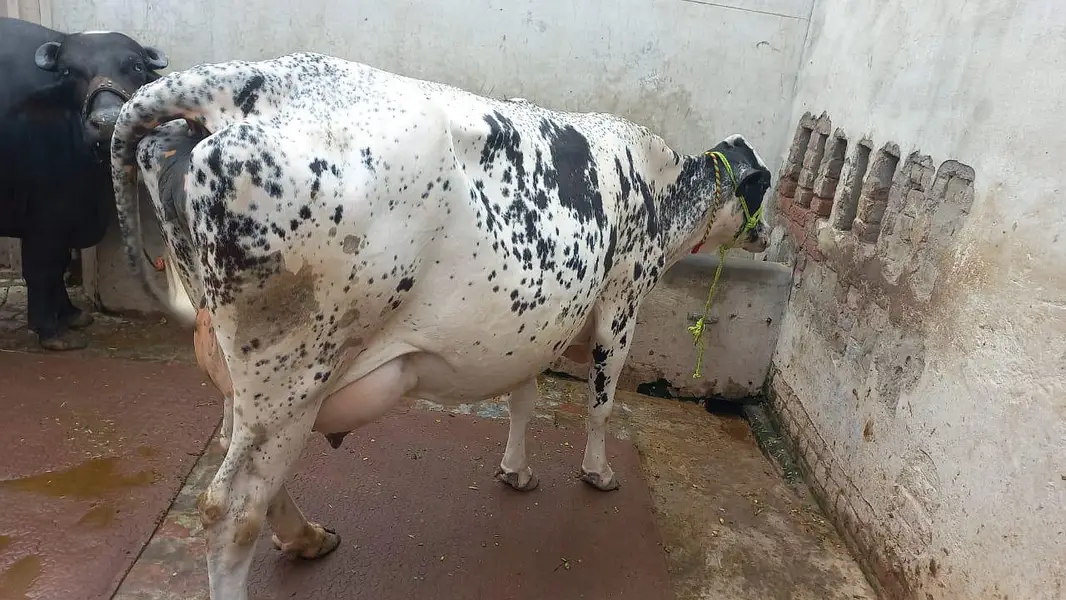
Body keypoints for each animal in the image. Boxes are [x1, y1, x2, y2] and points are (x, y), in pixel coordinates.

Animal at [0, 17, 168, 350]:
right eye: (68, 71)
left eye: (136, 65)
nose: (107, 123)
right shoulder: (44, 215)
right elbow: (43, 267)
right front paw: (49, 331)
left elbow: (60, 262)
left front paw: (70, 314)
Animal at [109, 52, 772, 600]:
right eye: (762, 188)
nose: (768, 236)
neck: (662, 183)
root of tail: (247, 80)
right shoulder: (621, 303)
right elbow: (601, 406)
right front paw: (599, 473)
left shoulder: (536, 324)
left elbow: (523, 398)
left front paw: (516, 470)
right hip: (293, 370)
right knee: (231, 507)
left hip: (248, 376)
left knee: (243, 463)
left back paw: (309, 538)